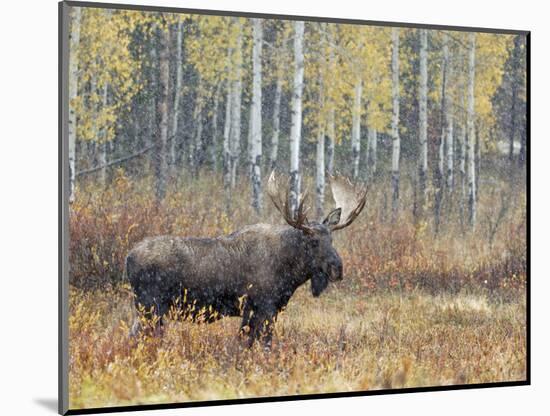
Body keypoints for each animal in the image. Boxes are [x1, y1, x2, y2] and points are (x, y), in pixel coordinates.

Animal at [127, 172, 368, 348]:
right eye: (313, 241)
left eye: (332, 239)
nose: (337, 268)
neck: (290, 274)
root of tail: (128, 257)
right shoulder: (261, 306)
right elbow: (258, 343)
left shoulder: (271, 308)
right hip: (150, 306)